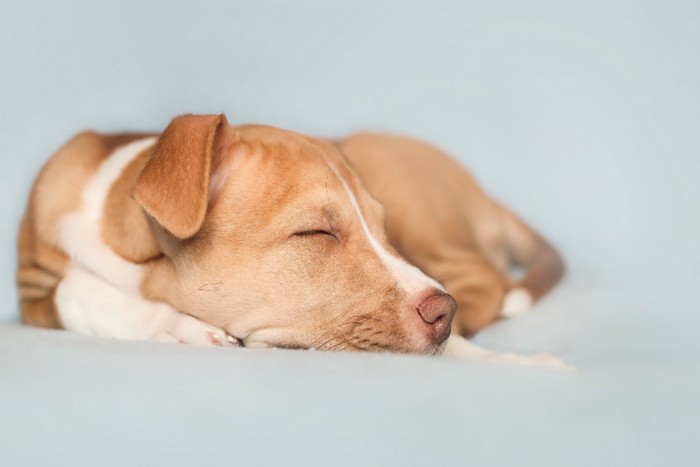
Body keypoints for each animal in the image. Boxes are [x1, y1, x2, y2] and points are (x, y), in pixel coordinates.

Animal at [15, 113, 564, 366]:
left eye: (383, 230)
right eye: (316, 232)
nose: (443, 313)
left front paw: (514, 363)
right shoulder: (34, 293)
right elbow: (75, 289)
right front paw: (179, 326)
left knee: (486, 278)